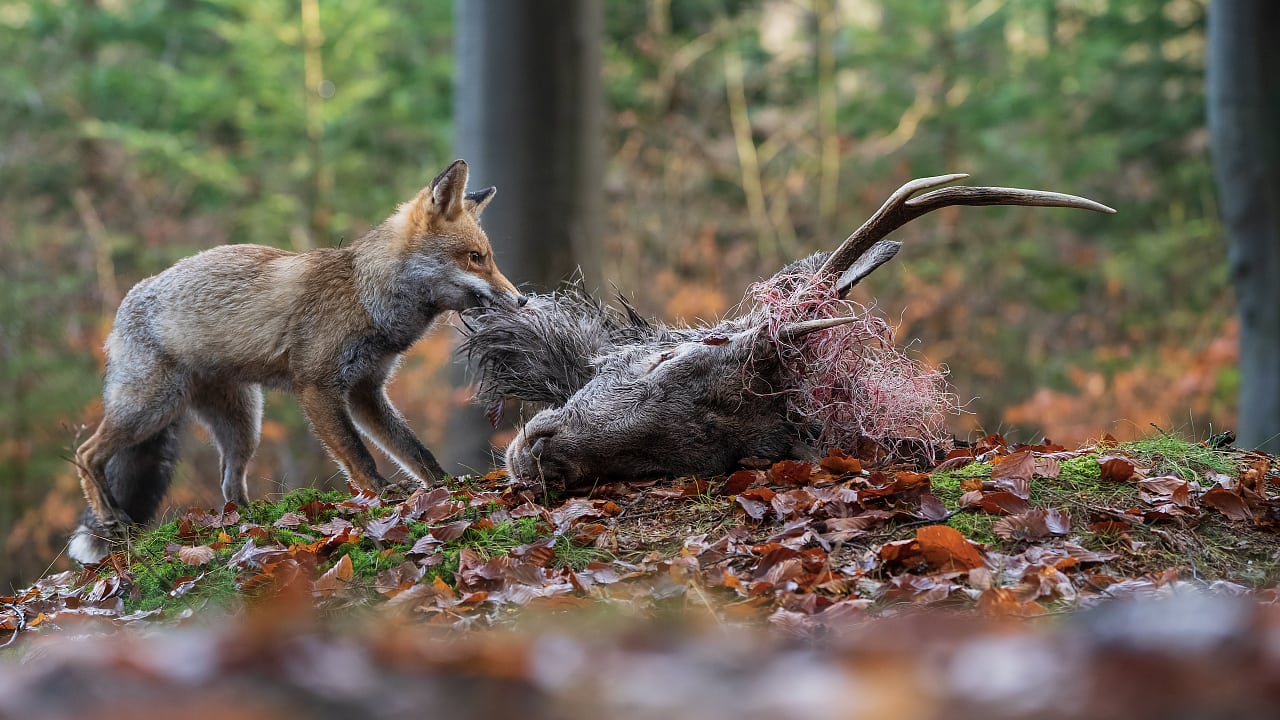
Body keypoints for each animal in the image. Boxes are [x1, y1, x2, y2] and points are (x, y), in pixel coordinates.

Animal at [67, 159, 519, 563]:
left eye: (488, 257)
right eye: (476, 257)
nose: (519, 300)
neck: (366, 294)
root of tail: (129, 298)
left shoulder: (366, 390)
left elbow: (416, 451)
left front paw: (448, 490)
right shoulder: (317, 386)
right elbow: (359, 456)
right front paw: (384, 499)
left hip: (243, 426)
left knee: (229, 484)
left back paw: (244, 524)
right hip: (149, 409)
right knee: (86, 454)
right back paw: (110, 518)